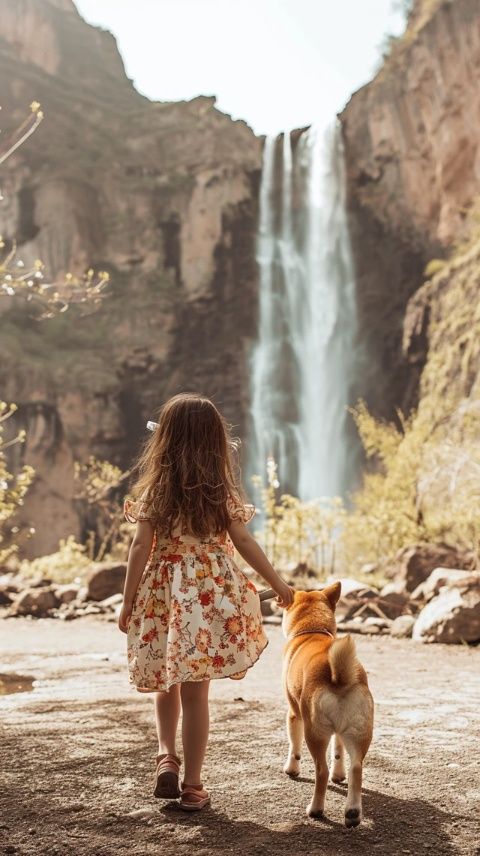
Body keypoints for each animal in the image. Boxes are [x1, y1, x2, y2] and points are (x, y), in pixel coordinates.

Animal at [284, 584, 374, 824]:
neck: (312, 631)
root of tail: (339, 677)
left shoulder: (294, 714)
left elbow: (294, 747)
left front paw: (292, 769)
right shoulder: (339, 732)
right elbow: (339, 751)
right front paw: (338, 775)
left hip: (313, 732)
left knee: (321, 771)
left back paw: (315, 809)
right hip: (358, 732)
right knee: (356, 768)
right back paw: (352, 812)